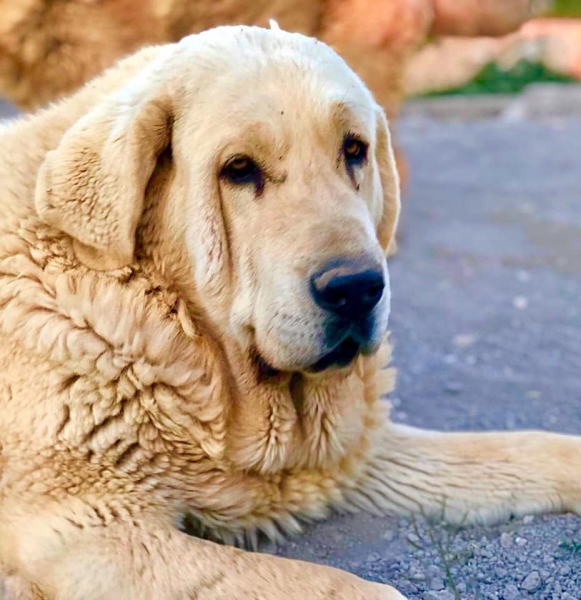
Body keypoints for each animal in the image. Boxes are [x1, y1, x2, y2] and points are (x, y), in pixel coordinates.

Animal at [1, 24, 580, 600]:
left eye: (354, 150)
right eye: (239, 169)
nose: (356, 288)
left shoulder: (360, 450)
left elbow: (519, 449)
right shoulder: (92, 531)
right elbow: (344, 587)